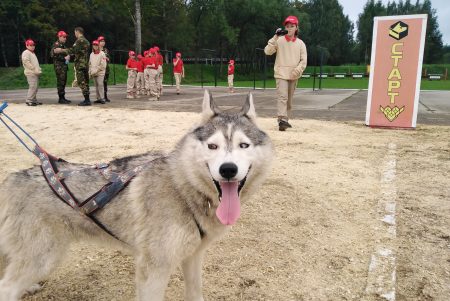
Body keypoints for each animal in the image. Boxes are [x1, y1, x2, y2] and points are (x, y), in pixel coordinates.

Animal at [0, 90, 274, 298]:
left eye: (244, 145)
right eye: (212, 146)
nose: (228, 170)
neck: (182, 186)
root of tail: (12, 179)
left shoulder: (193, 257)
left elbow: (195, 293)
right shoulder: (153, 270)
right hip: (43, 257)